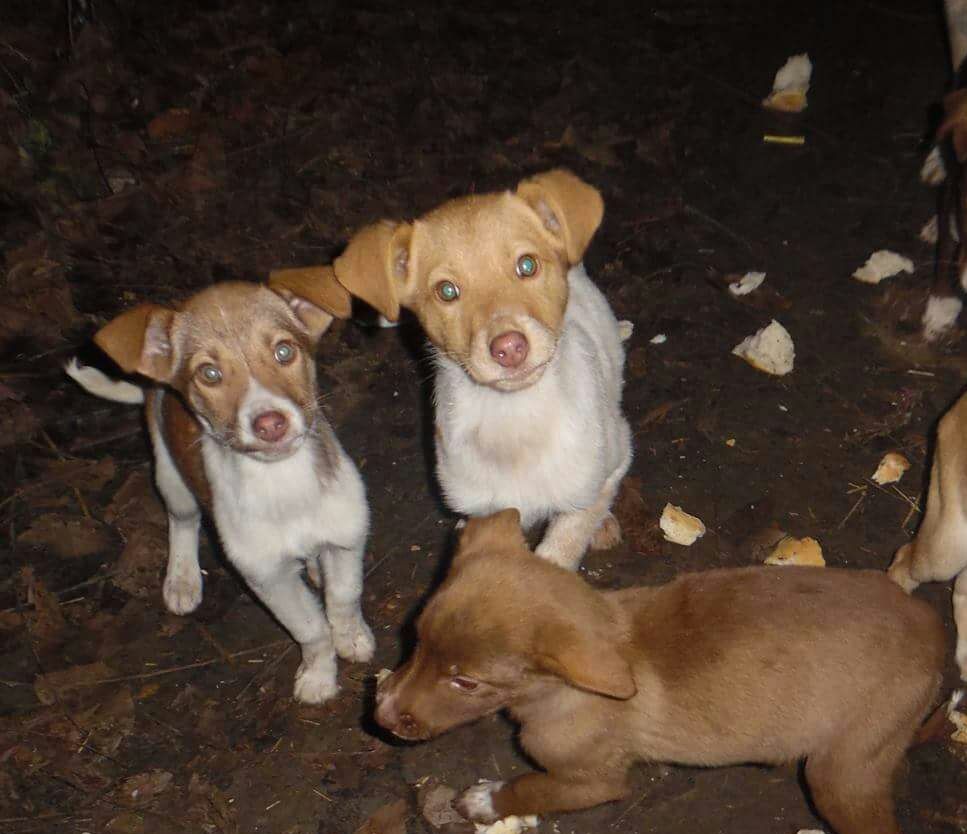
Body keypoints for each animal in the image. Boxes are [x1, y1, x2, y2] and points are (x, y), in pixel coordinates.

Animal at [376, 508, 944, 832]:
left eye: (466, 682)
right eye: (415, 639)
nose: (379, 717)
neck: (559, 694)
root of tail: (932, 626)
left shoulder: (594, 781)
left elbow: (529, 785)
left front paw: (485, 801)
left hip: (844, 773)